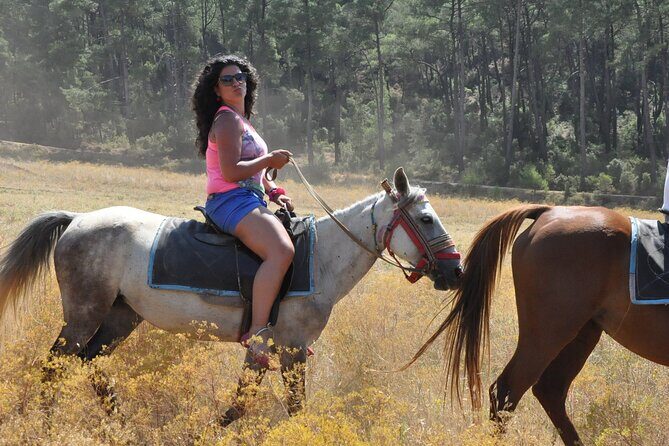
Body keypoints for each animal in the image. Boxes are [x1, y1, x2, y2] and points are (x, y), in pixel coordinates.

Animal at [0, 167, 462, 425]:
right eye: (425, 218)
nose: (455, 271)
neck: (320, 260)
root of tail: (78, 219)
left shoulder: (264, 349)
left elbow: (240, 405)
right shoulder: (289, 348)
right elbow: (290, 406)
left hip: (120, 316)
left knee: (90, 362)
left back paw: (118, 421)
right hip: (83, 314)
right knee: (55, 365)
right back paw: (48, 423)